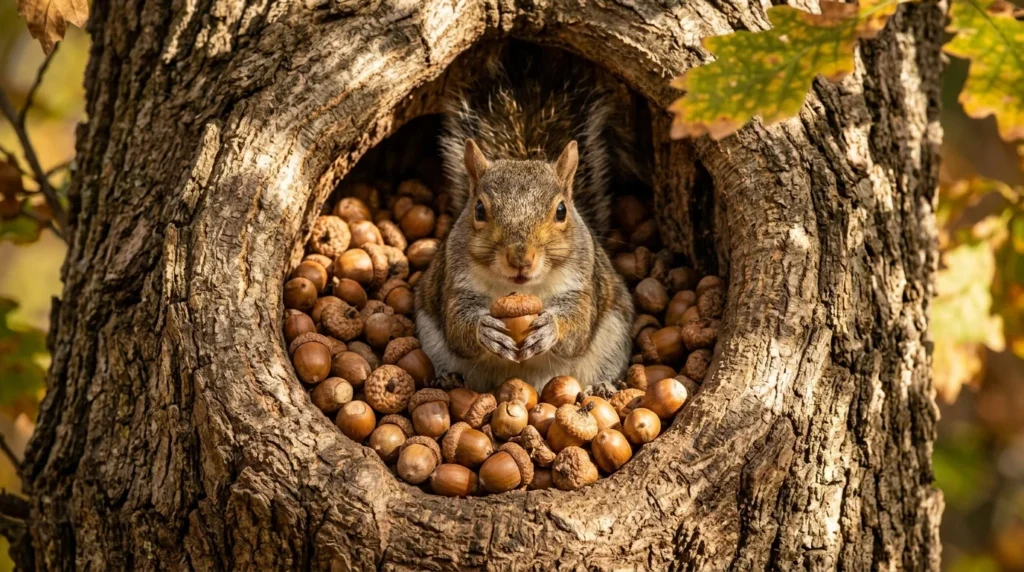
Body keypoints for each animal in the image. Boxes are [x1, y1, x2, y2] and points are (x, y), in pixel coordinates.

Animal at [415, 43, 636, 393]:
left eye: (561, 210)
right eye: (479, 209)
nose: (521, 259)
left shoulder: (583, 286)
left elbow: (577, 328)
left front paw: (551, 328)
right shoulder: (454, 284)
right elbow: (457, 327)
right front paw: (485, 329)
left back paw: (601, 387)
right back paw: (447, 380)